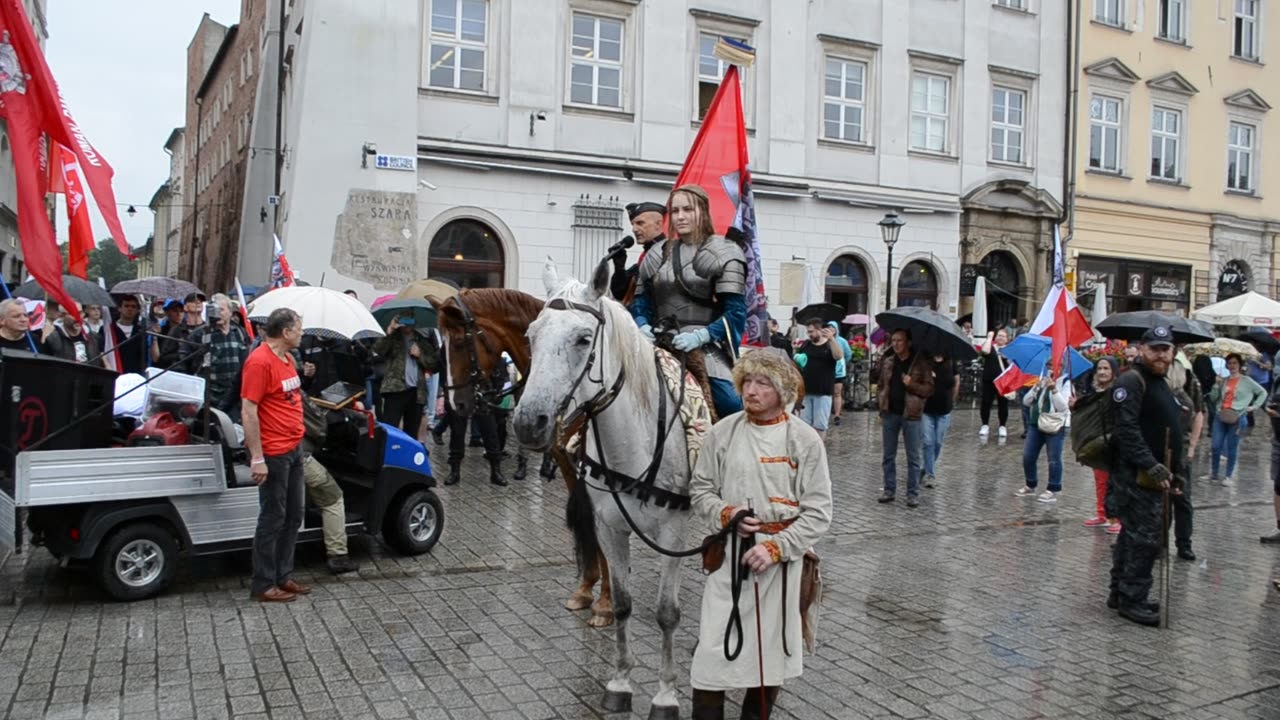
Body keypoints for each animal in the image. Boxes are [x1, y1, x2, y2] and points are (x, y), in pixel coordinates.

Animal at [424, 288, 614, 625]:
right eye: (440, 346)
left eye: (459, 342)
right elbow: (586, 524)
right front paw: (585, 589)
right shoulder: (569, 466)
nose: (456, 403)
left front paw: (605, 602)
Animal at [512, 257, 696, 717]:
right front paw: (620, 683)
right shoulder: (610, 526)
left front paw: (665, 694)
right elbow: (624, 605)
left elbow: (667, 612)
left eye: (583, 338)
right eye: (531, 335)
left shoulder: (673, 532)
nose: (528, 423)